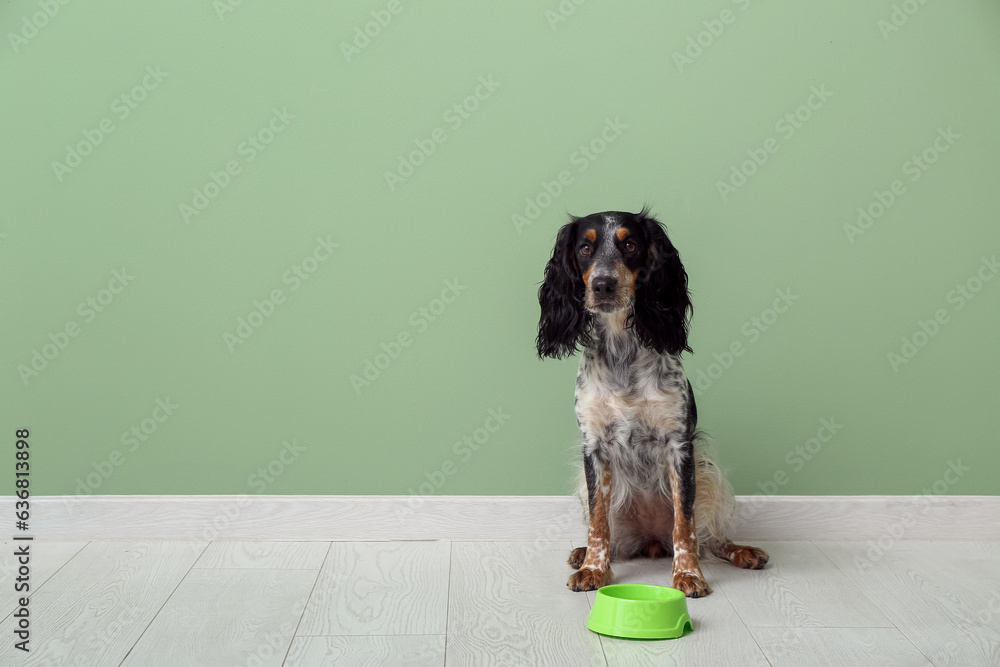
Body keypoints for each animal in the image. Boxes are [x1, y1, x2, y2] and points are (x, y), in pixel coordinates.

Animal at [540, 209, 764, 600]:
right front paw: (593, 569)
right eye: (585, 248)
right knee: (613, 537)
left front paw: (688, 575)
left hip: (710, 474)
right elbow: (598, 523)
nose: (602, 285)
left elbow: (685, 525)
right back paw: (582, 553)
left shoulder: (679, 446)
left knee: (711, 539)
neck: (622, 349)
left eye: (630, 245)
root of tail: (650, 542)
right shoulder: (594, 447)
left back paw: (743, 552)